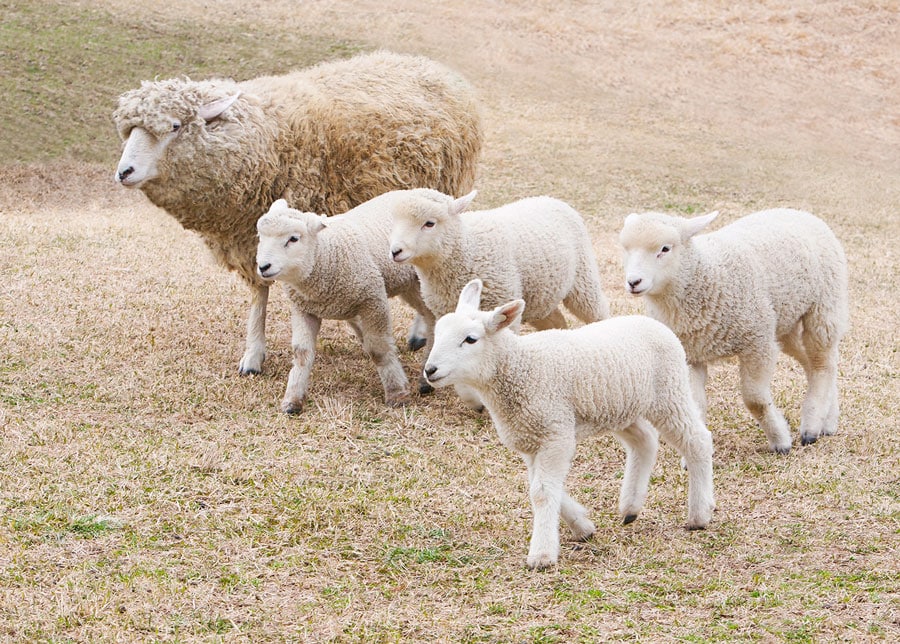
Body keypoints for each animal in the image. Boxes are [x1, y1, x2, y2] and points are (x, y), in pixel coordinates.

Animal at [117, 50, 488, 374]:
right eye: (129, 131)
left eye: (175, 126)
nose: (124, 172)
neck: (263, 138)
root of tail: (430, 65)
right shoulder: (252, 238)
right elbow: (259, 295)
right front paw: (253, 355)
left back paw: (420, 332)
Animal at [253, 194, 436, 412]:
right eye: (260, 237)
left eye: (293, 238)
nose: (263, 267)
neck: (326, 254)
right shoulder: (303, 309)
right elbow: (302, 354)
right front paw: (293, 400)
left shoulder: (373, 300)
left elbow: (379, 350)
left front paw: (397, 394)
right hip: (412, 287)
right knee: (432, 319)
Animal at [424, 280, 716, 572]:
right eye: (437, 334)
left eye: (470, 339)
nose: (430, 370)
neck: (520, 366)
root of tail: (654, 323)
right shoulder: (532, 439)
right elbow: (540, 486)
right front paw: (583, 527)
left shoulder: (555, 433)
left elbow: (541, 492)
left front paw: (541, 554)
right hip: (620, 407)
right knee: (644, 441)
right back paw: (631, 508)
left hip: (669, 393)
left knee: (697, 441)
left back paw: (699, 515)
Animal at [620, 210, 852, 452]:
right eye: (625, 248)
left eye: (665, 249)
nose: (634, 282)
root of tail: (799, 212)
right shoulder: (691, 355)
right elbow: (697, 405)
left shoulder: (757, 342)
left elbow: (756, 401)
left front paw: (780, 441)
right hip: (783, 323)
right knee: (813, 363)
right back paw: (828, 420)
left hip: (824, 307)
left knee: (822, 364)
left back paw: (812, 427)